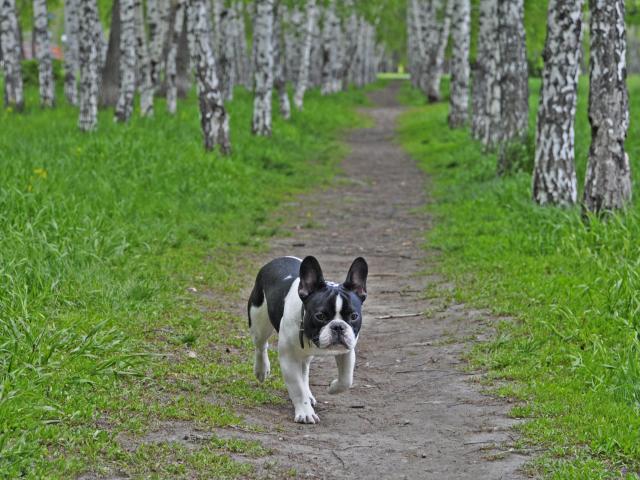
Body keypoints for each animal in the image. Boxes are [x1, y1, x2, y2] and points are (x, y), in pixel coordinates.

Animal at [250, 255, 370, 424]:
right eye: (320, 316)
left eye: (354, 316)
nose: (338, 326)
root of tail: (277, 259)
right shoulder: (289, 358)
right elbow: (297, 388)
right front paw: (305, 413)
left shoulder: (346, 351)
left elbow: (346, 379)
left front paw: (333, 387)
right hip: (259, 322)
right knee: (261, 346)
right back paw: (261, 370)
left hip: (304, 354)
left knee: (305, 370)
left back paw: (309, 393)